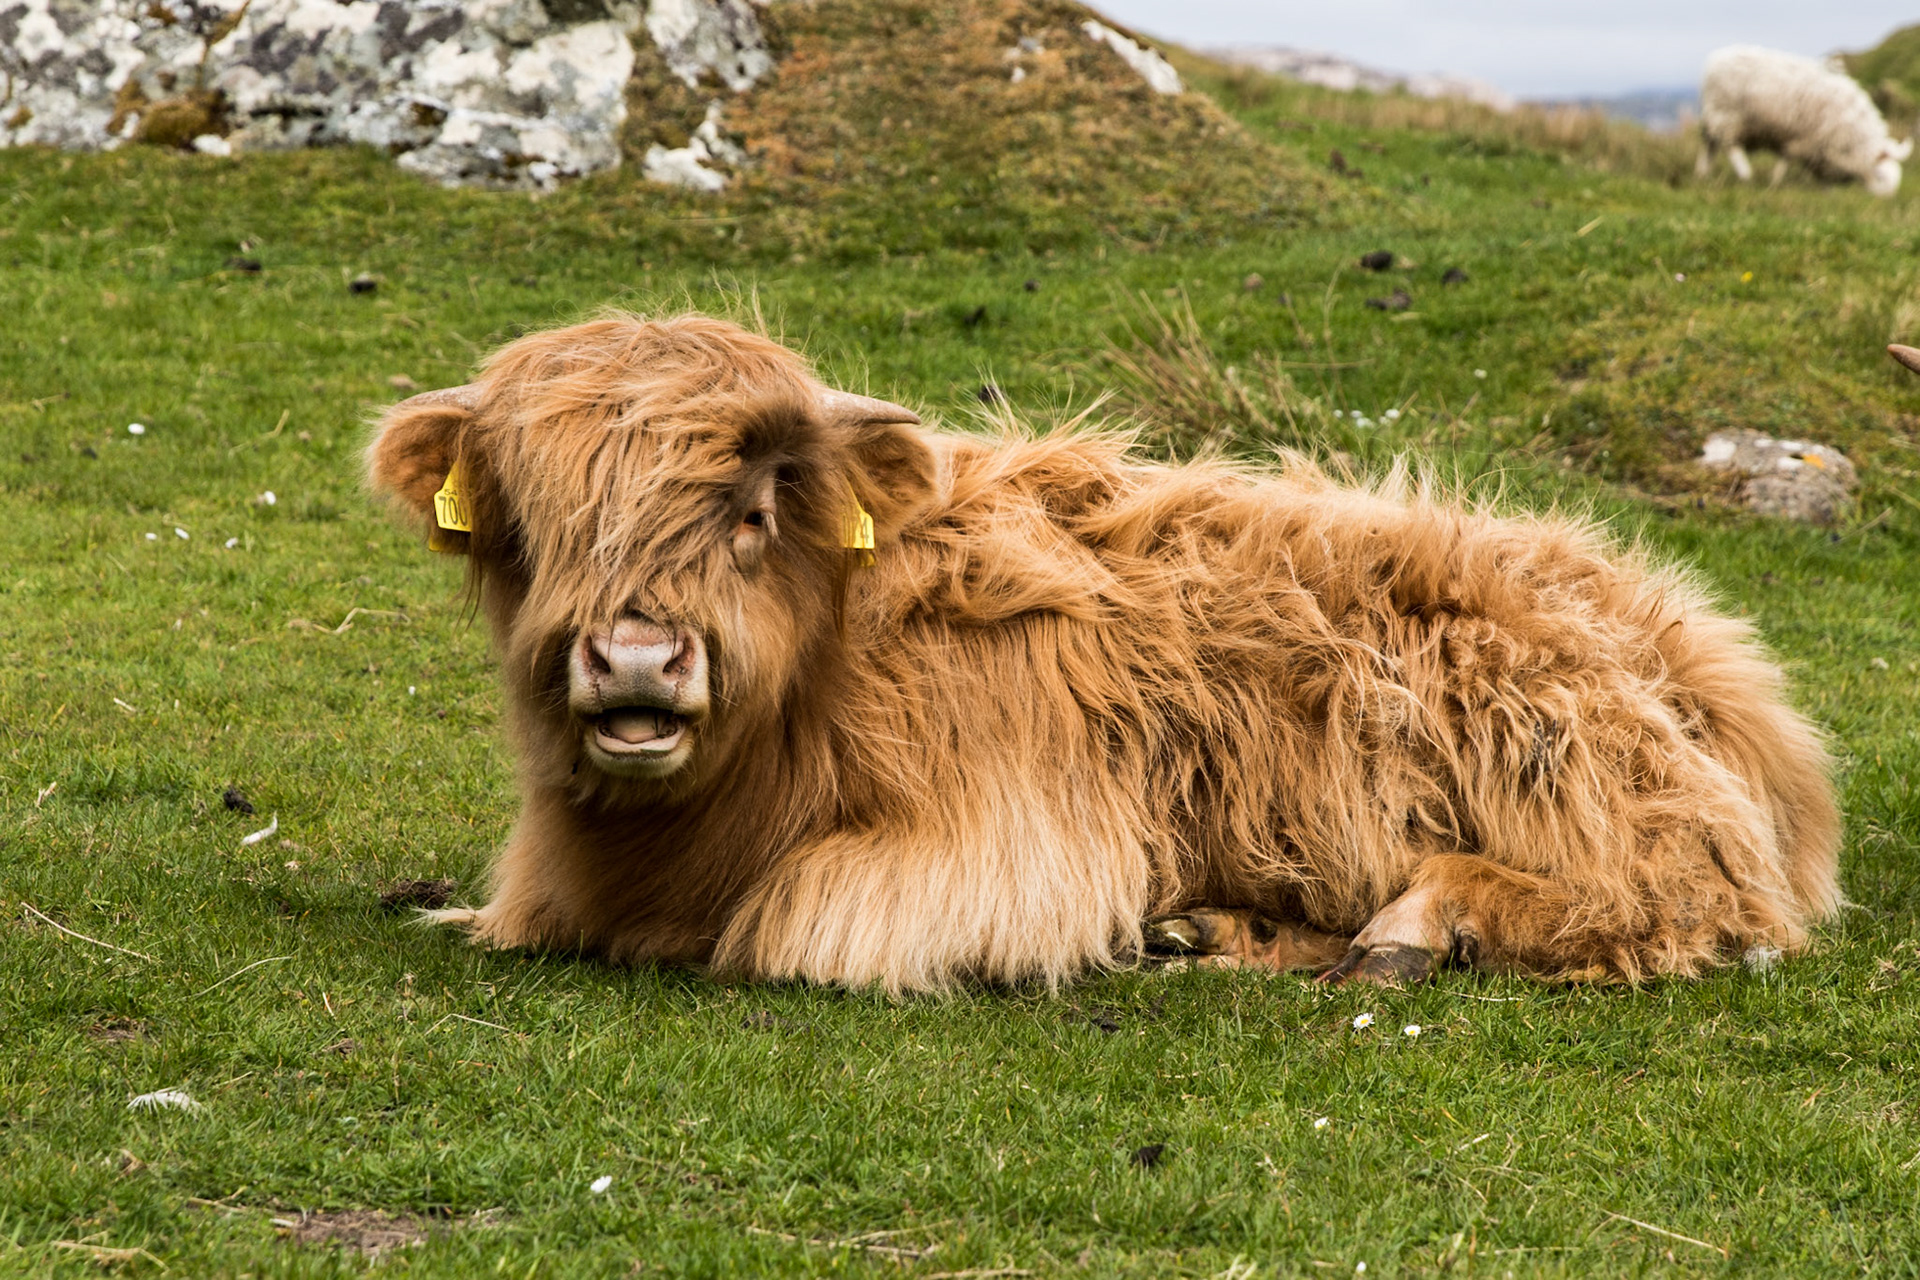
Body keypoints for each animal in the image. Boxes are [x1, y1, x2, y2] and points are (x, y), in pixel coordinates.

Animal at [366, 312, 1841, 993]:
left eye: (750, 507)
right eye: (535, 519)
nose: (632, 661)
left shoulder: (1005, 853)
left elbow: (796, 928)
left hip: (1568, 754)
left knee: (1695, 900)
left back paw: (1423, 924)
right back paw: (1225, 930)